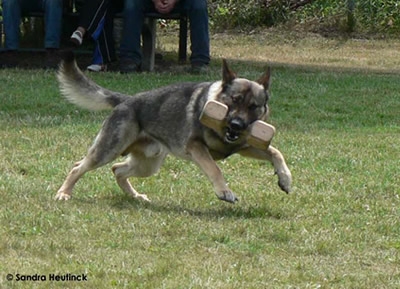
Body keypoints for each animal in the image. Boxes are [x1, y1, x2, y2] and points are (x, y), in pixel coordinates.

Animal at [54, 51, 292, 202]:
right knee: (78, 166)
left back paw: (135, 196)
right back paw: (64, 193)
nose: (236, 125)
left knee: (118, 170)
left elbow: (275, 152)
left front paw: (285, 179)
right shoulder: (196, 147)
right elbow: (215, 169)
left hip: (148, 165)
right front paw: (224, 192)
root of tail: (126, 100)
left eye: (253, 107)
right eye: (234, 100)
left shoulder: (245, 147)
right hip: (108, 150)